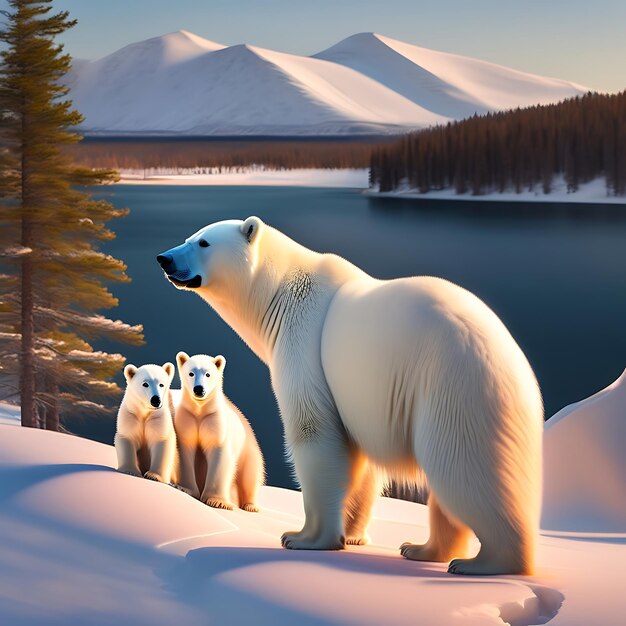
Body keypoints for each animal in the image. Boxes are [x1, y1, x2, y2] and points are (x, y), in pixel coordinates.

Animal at [173, 348, 264, 510]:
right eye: (191, 373)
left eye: (208, 374)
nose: (199, 389)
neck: (200, 411)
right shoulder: (188, 418)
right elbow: (185, 450)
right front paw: (185, 489)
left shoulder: (214, 421)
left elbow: (219, 453)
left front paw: (217, 501)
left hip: (249, 450)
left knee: (250, 475)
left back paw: (250, 505)